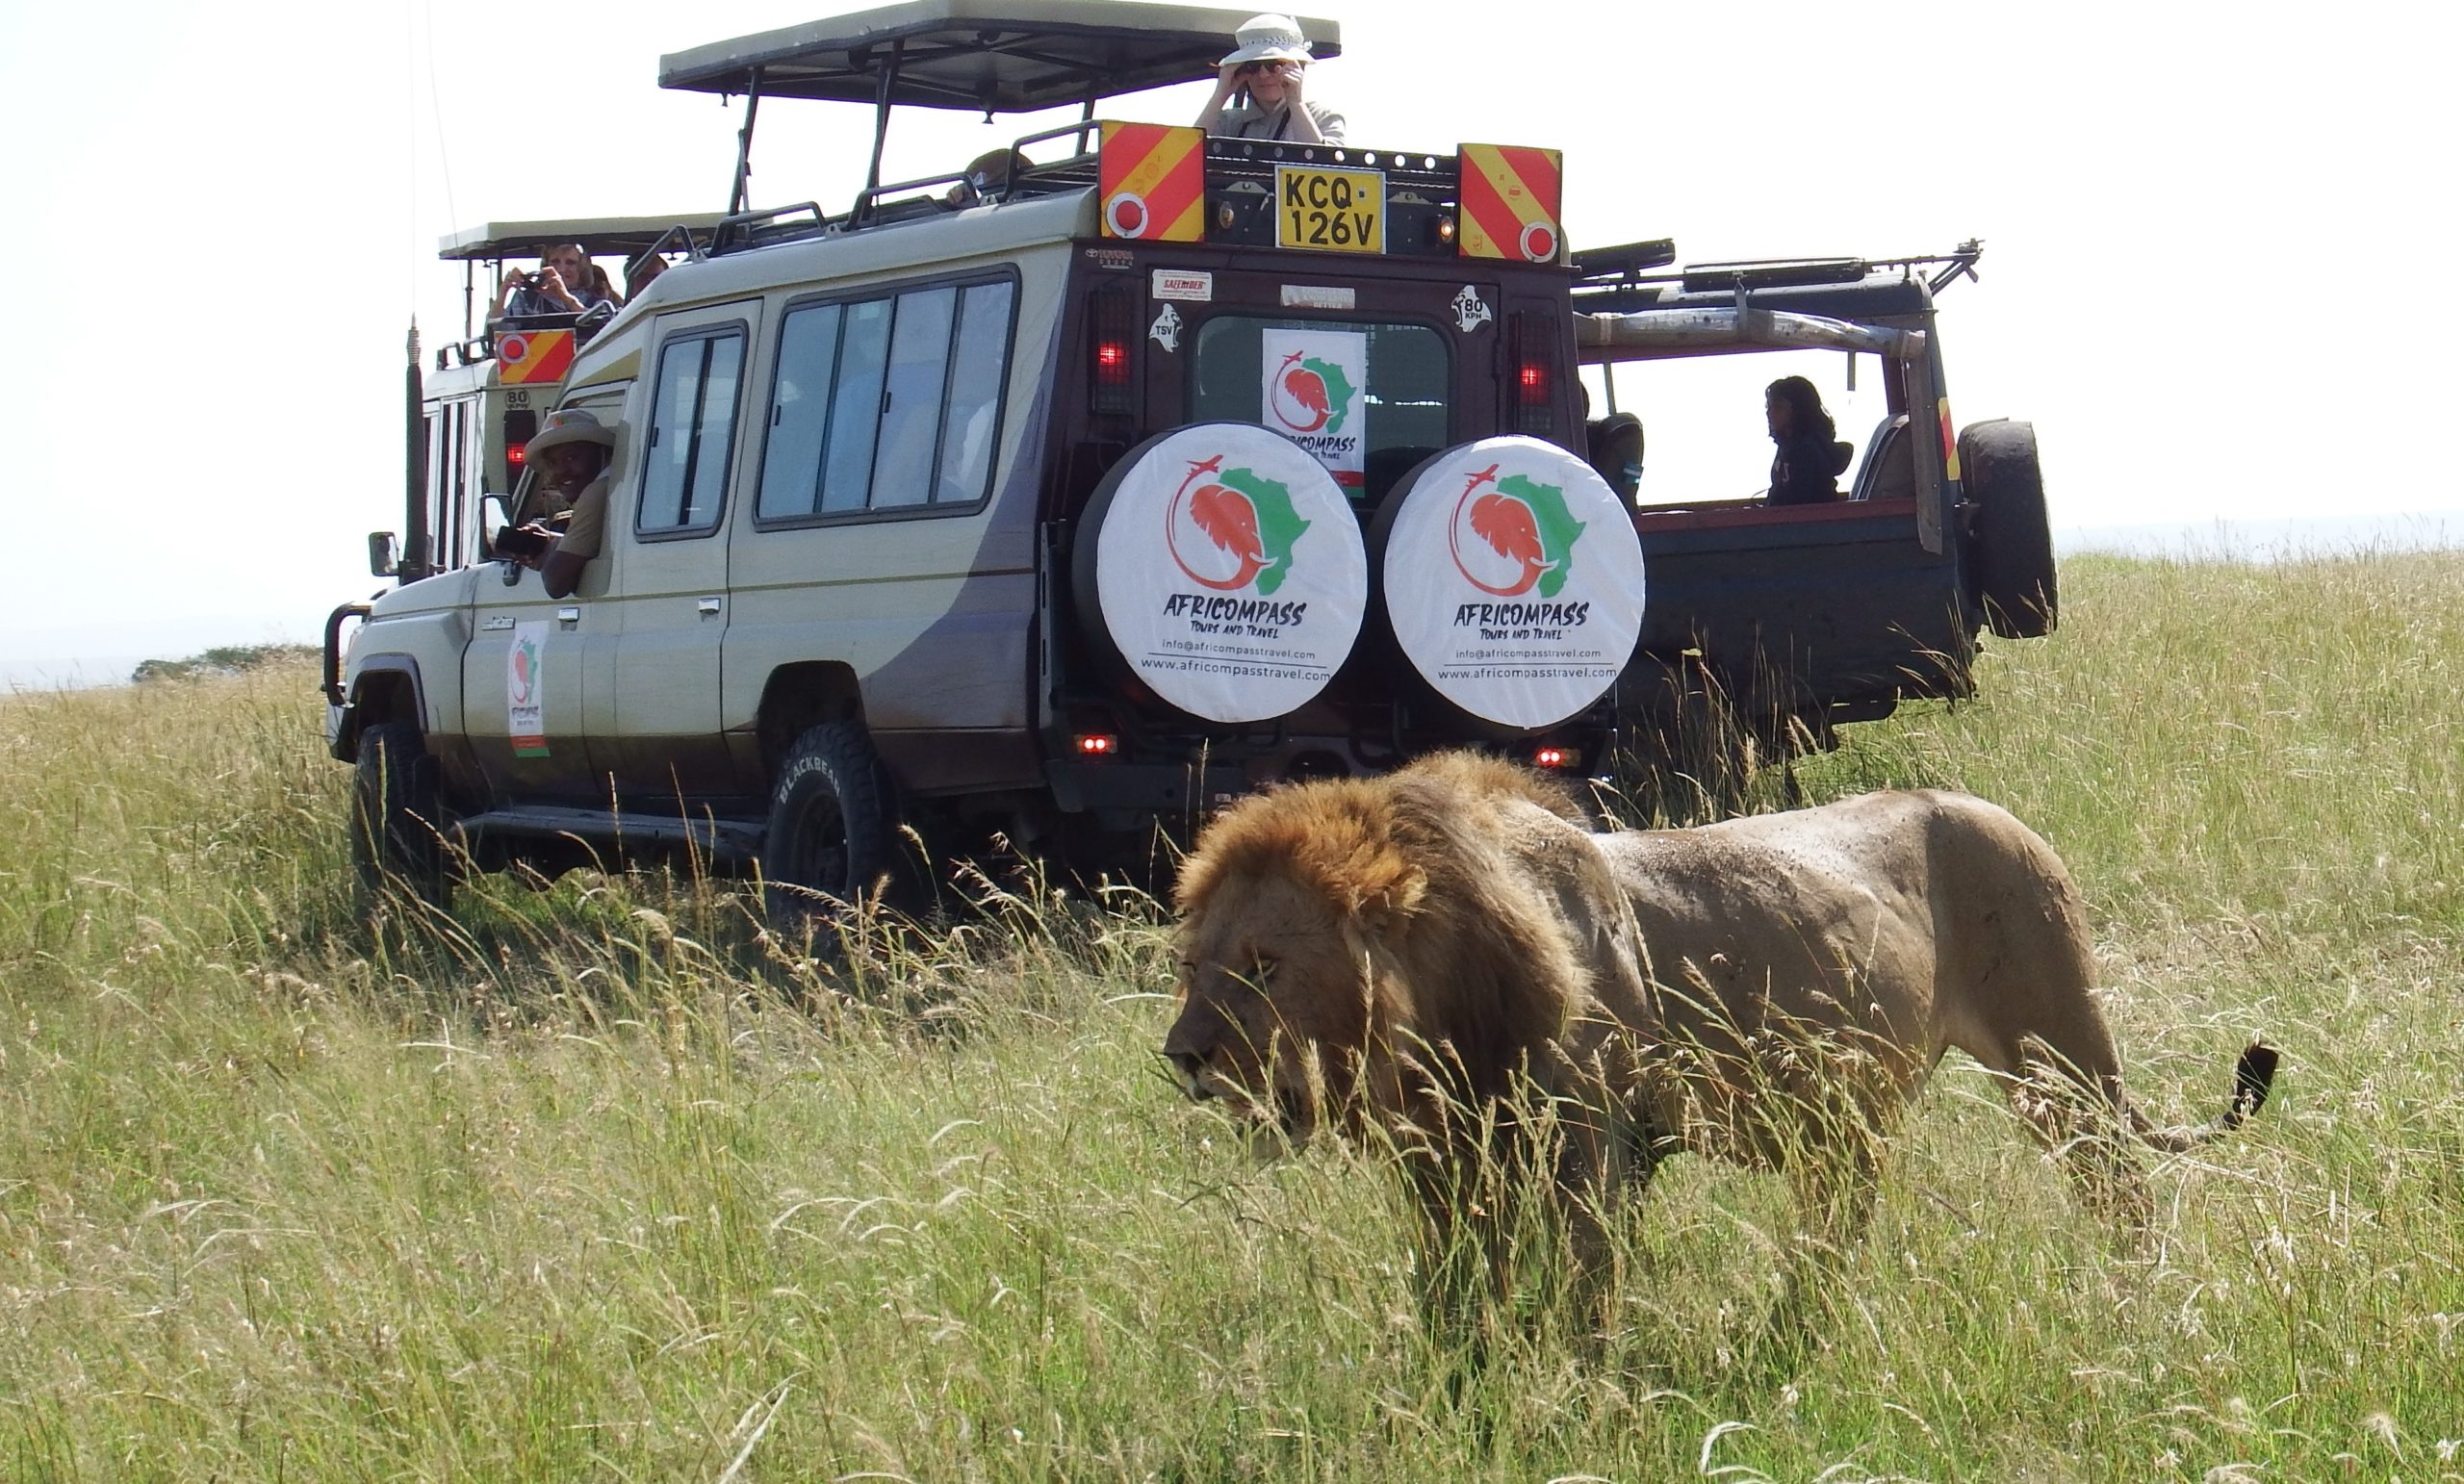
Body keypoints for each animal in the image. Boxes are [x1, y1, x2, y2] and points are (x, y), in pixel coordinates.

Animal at [1163, 749, 2276, 1301]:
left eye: (1262, 967)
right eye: (1189, 966)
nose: (1183, 1058)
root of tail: (1998, 809)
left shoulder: (1593, 1155)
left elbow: (1584, 1299)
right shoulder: (1443, 1165)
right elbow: (1454, 1295)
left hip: (2061, 1061)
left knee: (2120, 1193)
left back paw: (2135, 1300)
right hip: (1848, 1117)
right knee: (1835, 1228)